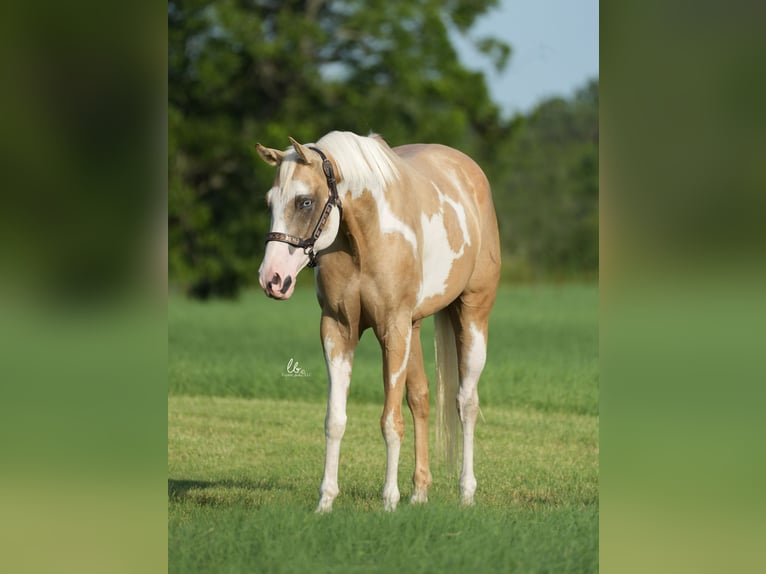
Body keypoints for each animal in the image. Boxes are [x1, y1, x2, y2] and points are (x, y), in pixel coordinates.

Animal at [255, 132, 500, 512]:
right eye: (270, 203)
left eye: (305, 201)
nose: (272, 279)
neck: (366, 237)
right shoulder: (338, 329)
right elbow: (335, 420)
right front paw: (325, 501)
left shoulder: (392, 329)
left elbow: (390, 421)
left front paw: (388, 500)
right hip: (413, 327)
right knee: (421, 399)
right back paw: (419, 492)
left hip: (472, 316)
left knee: (466, 403)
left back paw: (466, 493)